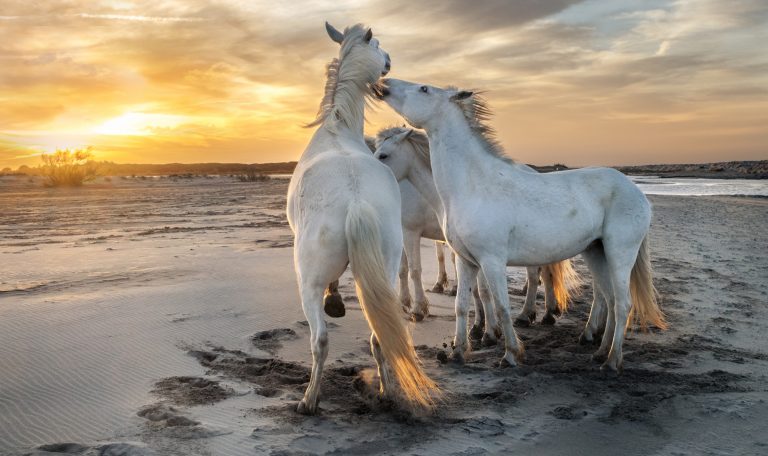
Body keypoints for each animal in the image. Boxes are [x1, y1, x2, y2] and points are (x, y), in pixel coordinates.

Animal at [284, 25, 438, 416]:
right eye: (380, 45)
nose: (389, 61)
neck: (336, 131)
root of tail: (354, 200)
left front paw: (335, 301)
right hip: (386, 269)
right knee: (380, 337)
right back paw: (385, 392)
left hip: (306, 282)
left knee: (320, 340)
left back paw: (309, 399)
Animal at [376, 126, 580, 340]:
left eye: (383, 155)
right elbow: (405, 270)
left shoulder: (411, 232)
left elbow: (417, 271)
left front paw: (419, 310)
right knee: (547, 274)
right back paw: (547, 313)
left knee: (535, 277)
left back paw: (526, 315)